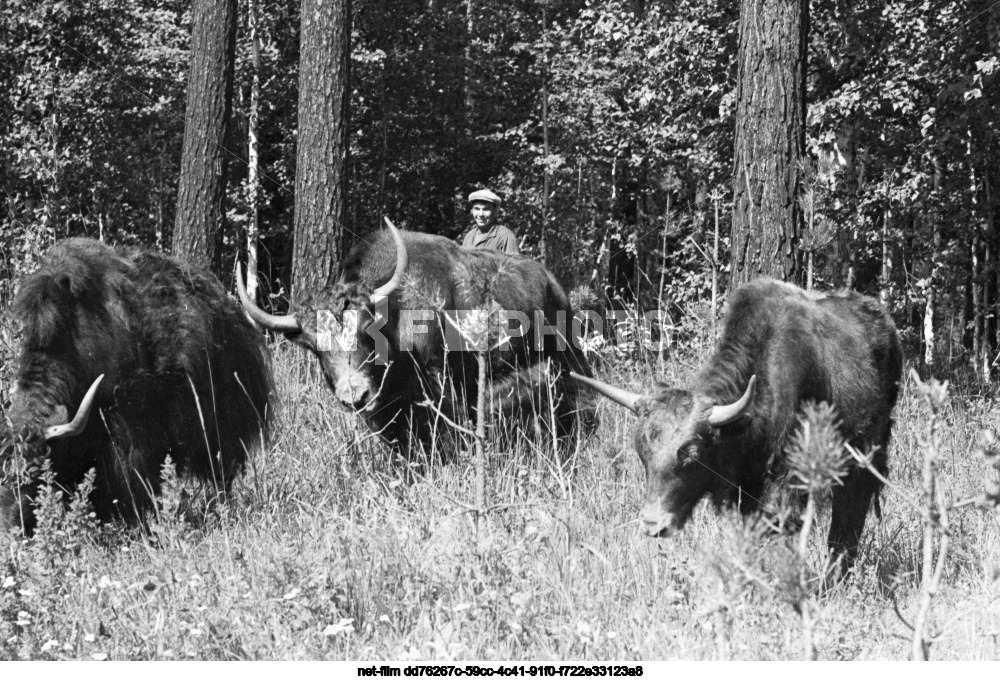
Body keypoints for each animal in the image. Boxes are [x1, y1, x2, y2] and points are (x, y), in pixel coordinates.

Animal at [0, 236, 274, 532]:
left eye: (33, 476)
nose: (9, 530)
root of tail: (233, 313)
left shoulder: (129, 426)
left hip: (221, 428)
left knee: (222, 471)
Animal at [572, 278, 908, 568]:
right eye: (642, 452)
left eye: (691, 454)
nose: (653, 524)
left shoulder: (788, 480)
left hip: (865, 456)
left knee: (850, 512)